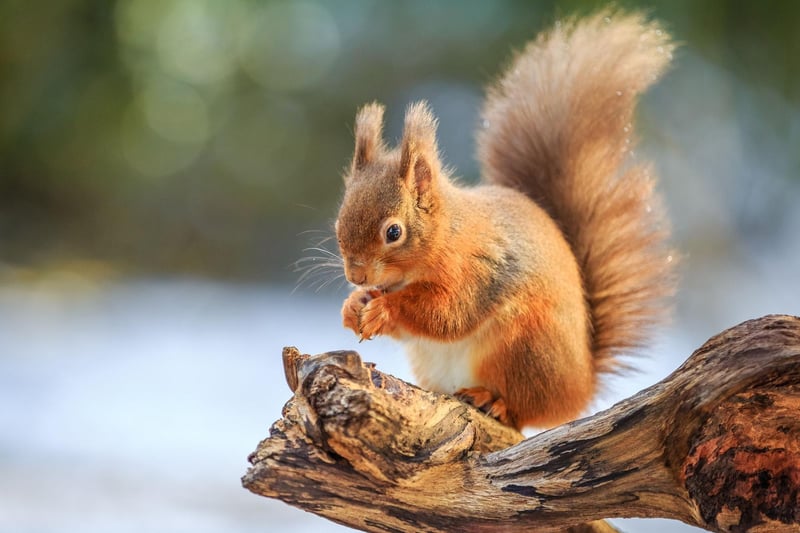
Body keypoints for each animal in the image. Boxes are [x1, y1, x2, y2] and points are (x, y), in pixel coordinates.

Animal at [332, 11, 676, 428]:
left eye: (393, 232)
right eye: (338, 224)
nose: (356, 275)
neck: (447, 235)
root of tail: (579, 389)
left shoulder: (477, 271)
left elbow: (446, 314)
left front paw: (385, 308)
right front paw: (354, 305)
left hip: (523, 348)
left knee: (521, 409)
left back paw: (492, 400)